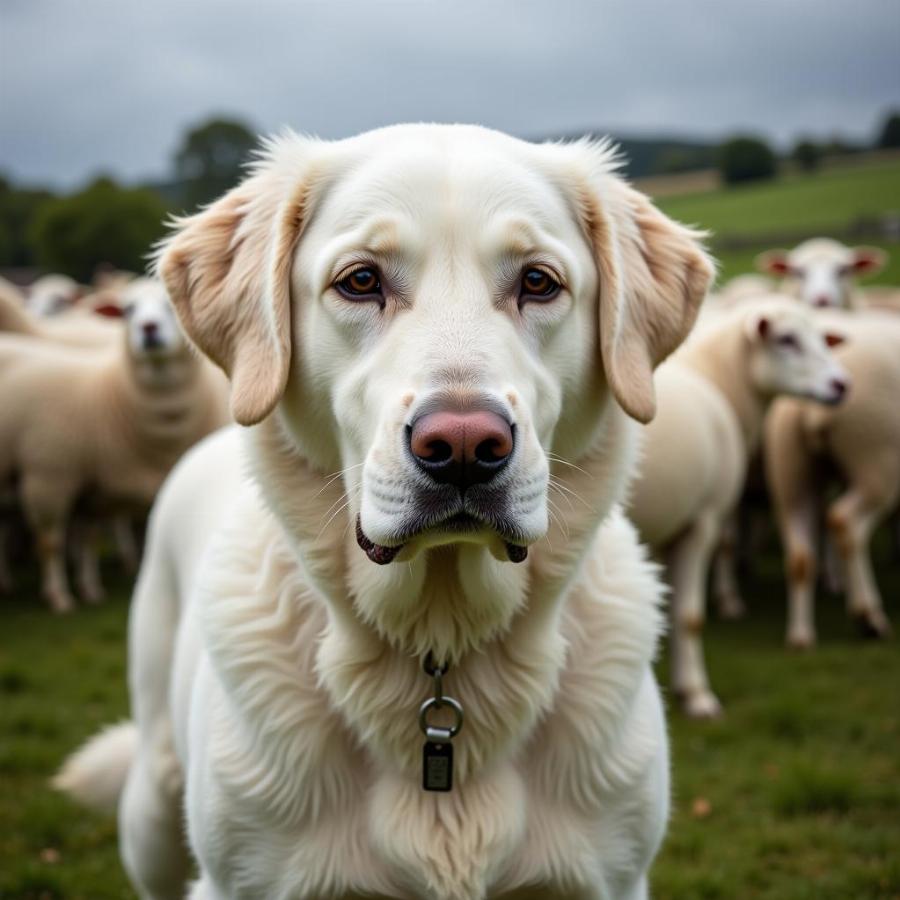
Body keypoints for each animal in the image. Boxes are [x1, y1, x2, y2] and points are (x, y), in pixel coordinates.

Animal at [0, 276, 229, 612]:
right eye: (128, 310)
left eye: (170, 303)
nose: (148, 328)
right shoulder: (48, 476)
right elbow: (51, 543)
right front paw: (60, 597)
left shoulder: (91, 485)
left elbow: (91, 538)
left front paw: (89, 588)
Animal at [59, 126, 712, 900]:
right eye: (361, 281)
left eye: (538, 282)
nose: (463, 447)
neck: (441, 647)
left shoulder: (613, 878)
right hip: (154, 809)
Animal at [624, 298, 852, 720]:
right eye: (786, 339)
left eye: (822, 337)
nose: (841, 385)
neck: (720, 380)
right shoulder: (704, 520)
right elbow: (690, 617)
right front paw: (697, 695)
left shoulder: (668, 528)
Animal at [764, 310, 900, 648]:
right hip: (878, 458)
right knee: (845, 522)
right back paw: (868, 617)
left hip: (791, 472)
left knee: (800, 555)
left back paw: (801, 636)